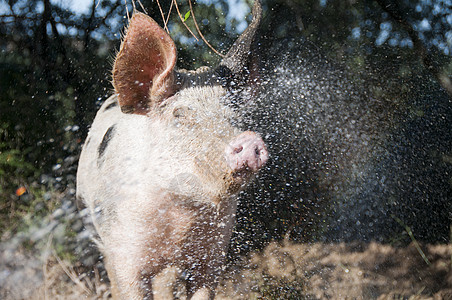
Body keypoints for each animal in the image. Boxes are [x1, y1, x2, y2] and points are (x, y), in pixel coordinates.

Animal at [76, 1, 266, 298]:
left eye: (236, 114)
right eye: (180, 114)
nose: (250, 140)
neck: (181, 212)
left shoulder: (213, 254)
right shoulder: (124, 247)